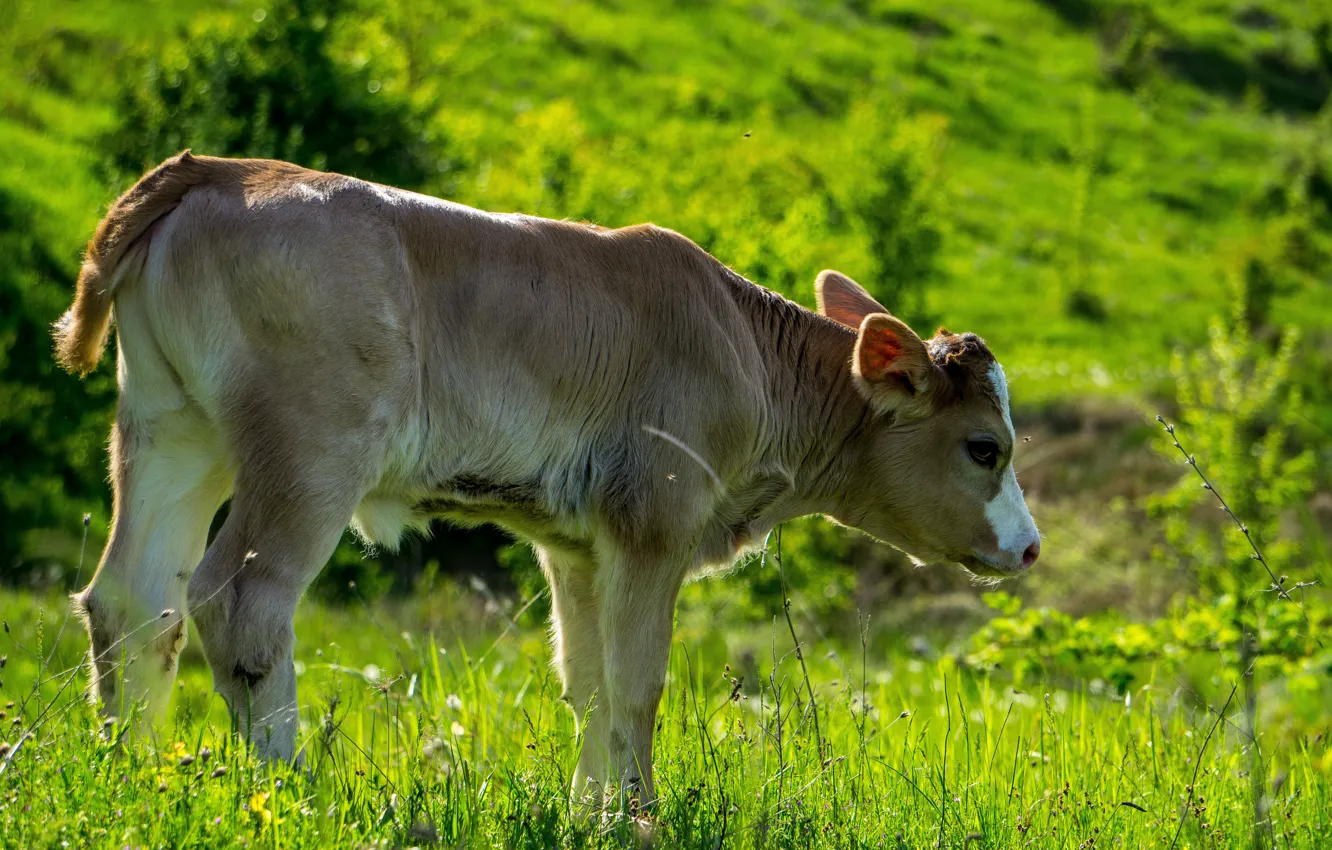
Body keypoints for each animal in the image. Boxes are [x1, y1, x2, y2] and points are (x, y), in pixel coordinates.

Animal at [55, 152, 1040, 806]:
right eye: (985, 447)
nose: (1030, 549)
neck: (744, 352)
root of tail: (220, 171)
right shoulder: (654, 520)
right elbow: (638, 684)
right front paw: (639, 818)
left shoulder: (577, 543)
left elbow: (589, 682)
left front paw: (590, 815)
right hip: (308, 448)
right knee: (240, 602)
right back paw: (290, 791)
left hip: (172, 427)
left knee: (133, 600)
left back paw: (133, 772)